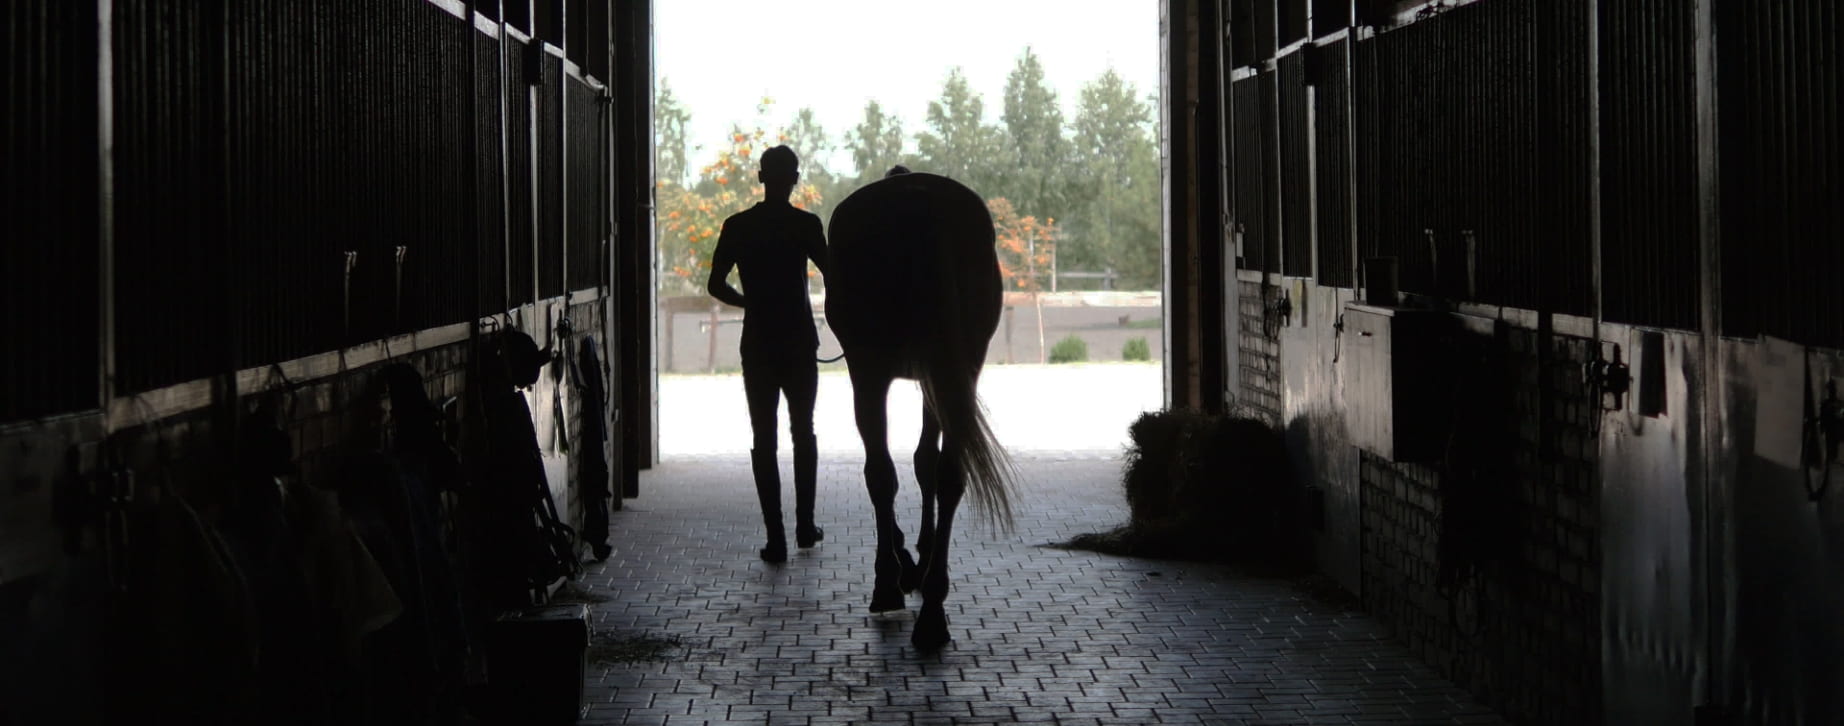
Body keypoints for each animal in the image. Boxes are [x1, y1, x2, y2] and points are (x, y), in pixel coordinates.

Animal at [826, 170, 1017, 644]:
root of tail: (918, 200)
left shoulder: (871, 372)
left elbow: (888, 472)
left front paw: (894, 574)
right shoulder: (938, 376)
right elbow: (926, 463)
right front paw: (918, 560)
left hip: (873, 370)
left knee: (882, 474)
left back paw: (903, 590)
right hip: (957, 367)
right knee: (949, 474)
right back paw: (932, 607)